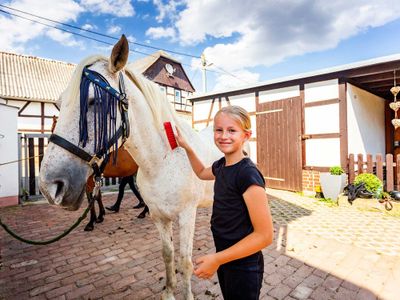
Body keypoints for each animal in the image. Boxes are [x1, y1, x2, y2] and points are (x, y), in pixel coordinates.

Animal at [39, 34, 220, 298]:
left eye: (95, 101)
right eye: (59, 105)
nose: (48, 185)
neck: (163, 161)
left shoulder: (186, 215)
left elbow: (185, 262)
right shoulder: (159, 217)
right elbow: (168, 255)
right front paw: (169, 292)